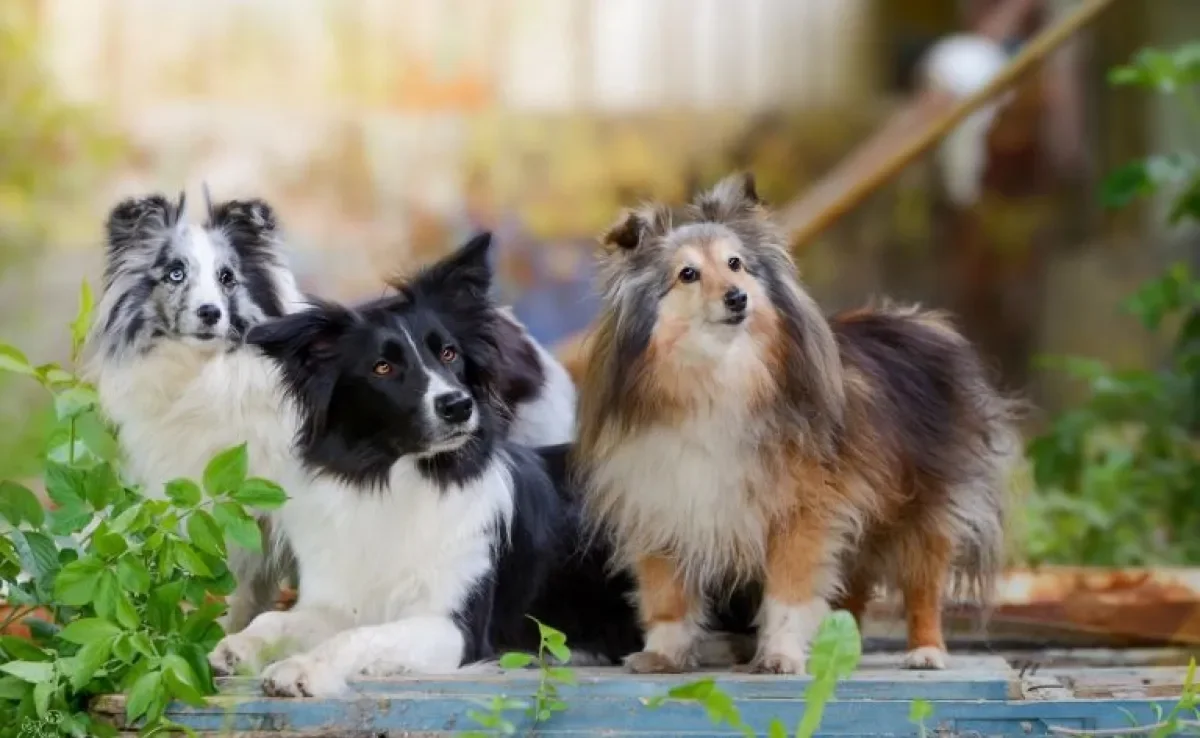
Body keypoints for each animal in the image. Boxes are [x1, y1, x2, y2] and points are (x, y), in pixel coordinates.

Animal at [212, 236, 648, 700]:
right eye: (383, 367)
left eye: (449, 353)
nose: (458, 405)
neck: (404, 478)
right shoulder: (338, 599)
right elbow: (277, 619)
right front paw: (238, 646)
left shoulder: (454, 628)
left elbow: (361, 636)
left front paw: (305, 668)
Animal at [571, 172, 1012, 676]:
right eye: (688, 274)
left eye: (736, 264)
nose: (737, 297)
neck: (719, 376)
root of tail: (915, 320)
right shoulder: (665, 503)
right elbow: (668, 597)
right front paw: (663, 655)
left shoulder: (802, 513)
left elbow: (788, 595)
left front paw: (779, 656)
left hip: (922, 511)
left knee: (924, 585)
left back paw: (926, 650)